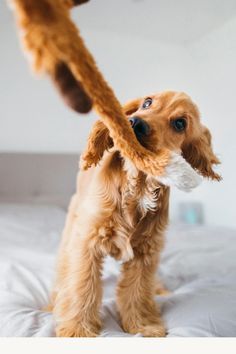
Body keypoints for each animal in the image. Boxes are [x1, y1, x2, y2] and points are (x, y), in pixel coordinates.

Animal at [48, 90, 220, 338]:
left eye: (180, 123)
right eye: (147, 103)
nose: (135, 122)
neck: (138, 185)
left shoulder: (146, 251)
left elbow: (138, 291)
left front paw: (142, 325)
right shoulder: (87, 242)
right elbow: (82, 286)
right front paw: (77, 328)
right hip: (73, 227)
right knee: (64, 267)